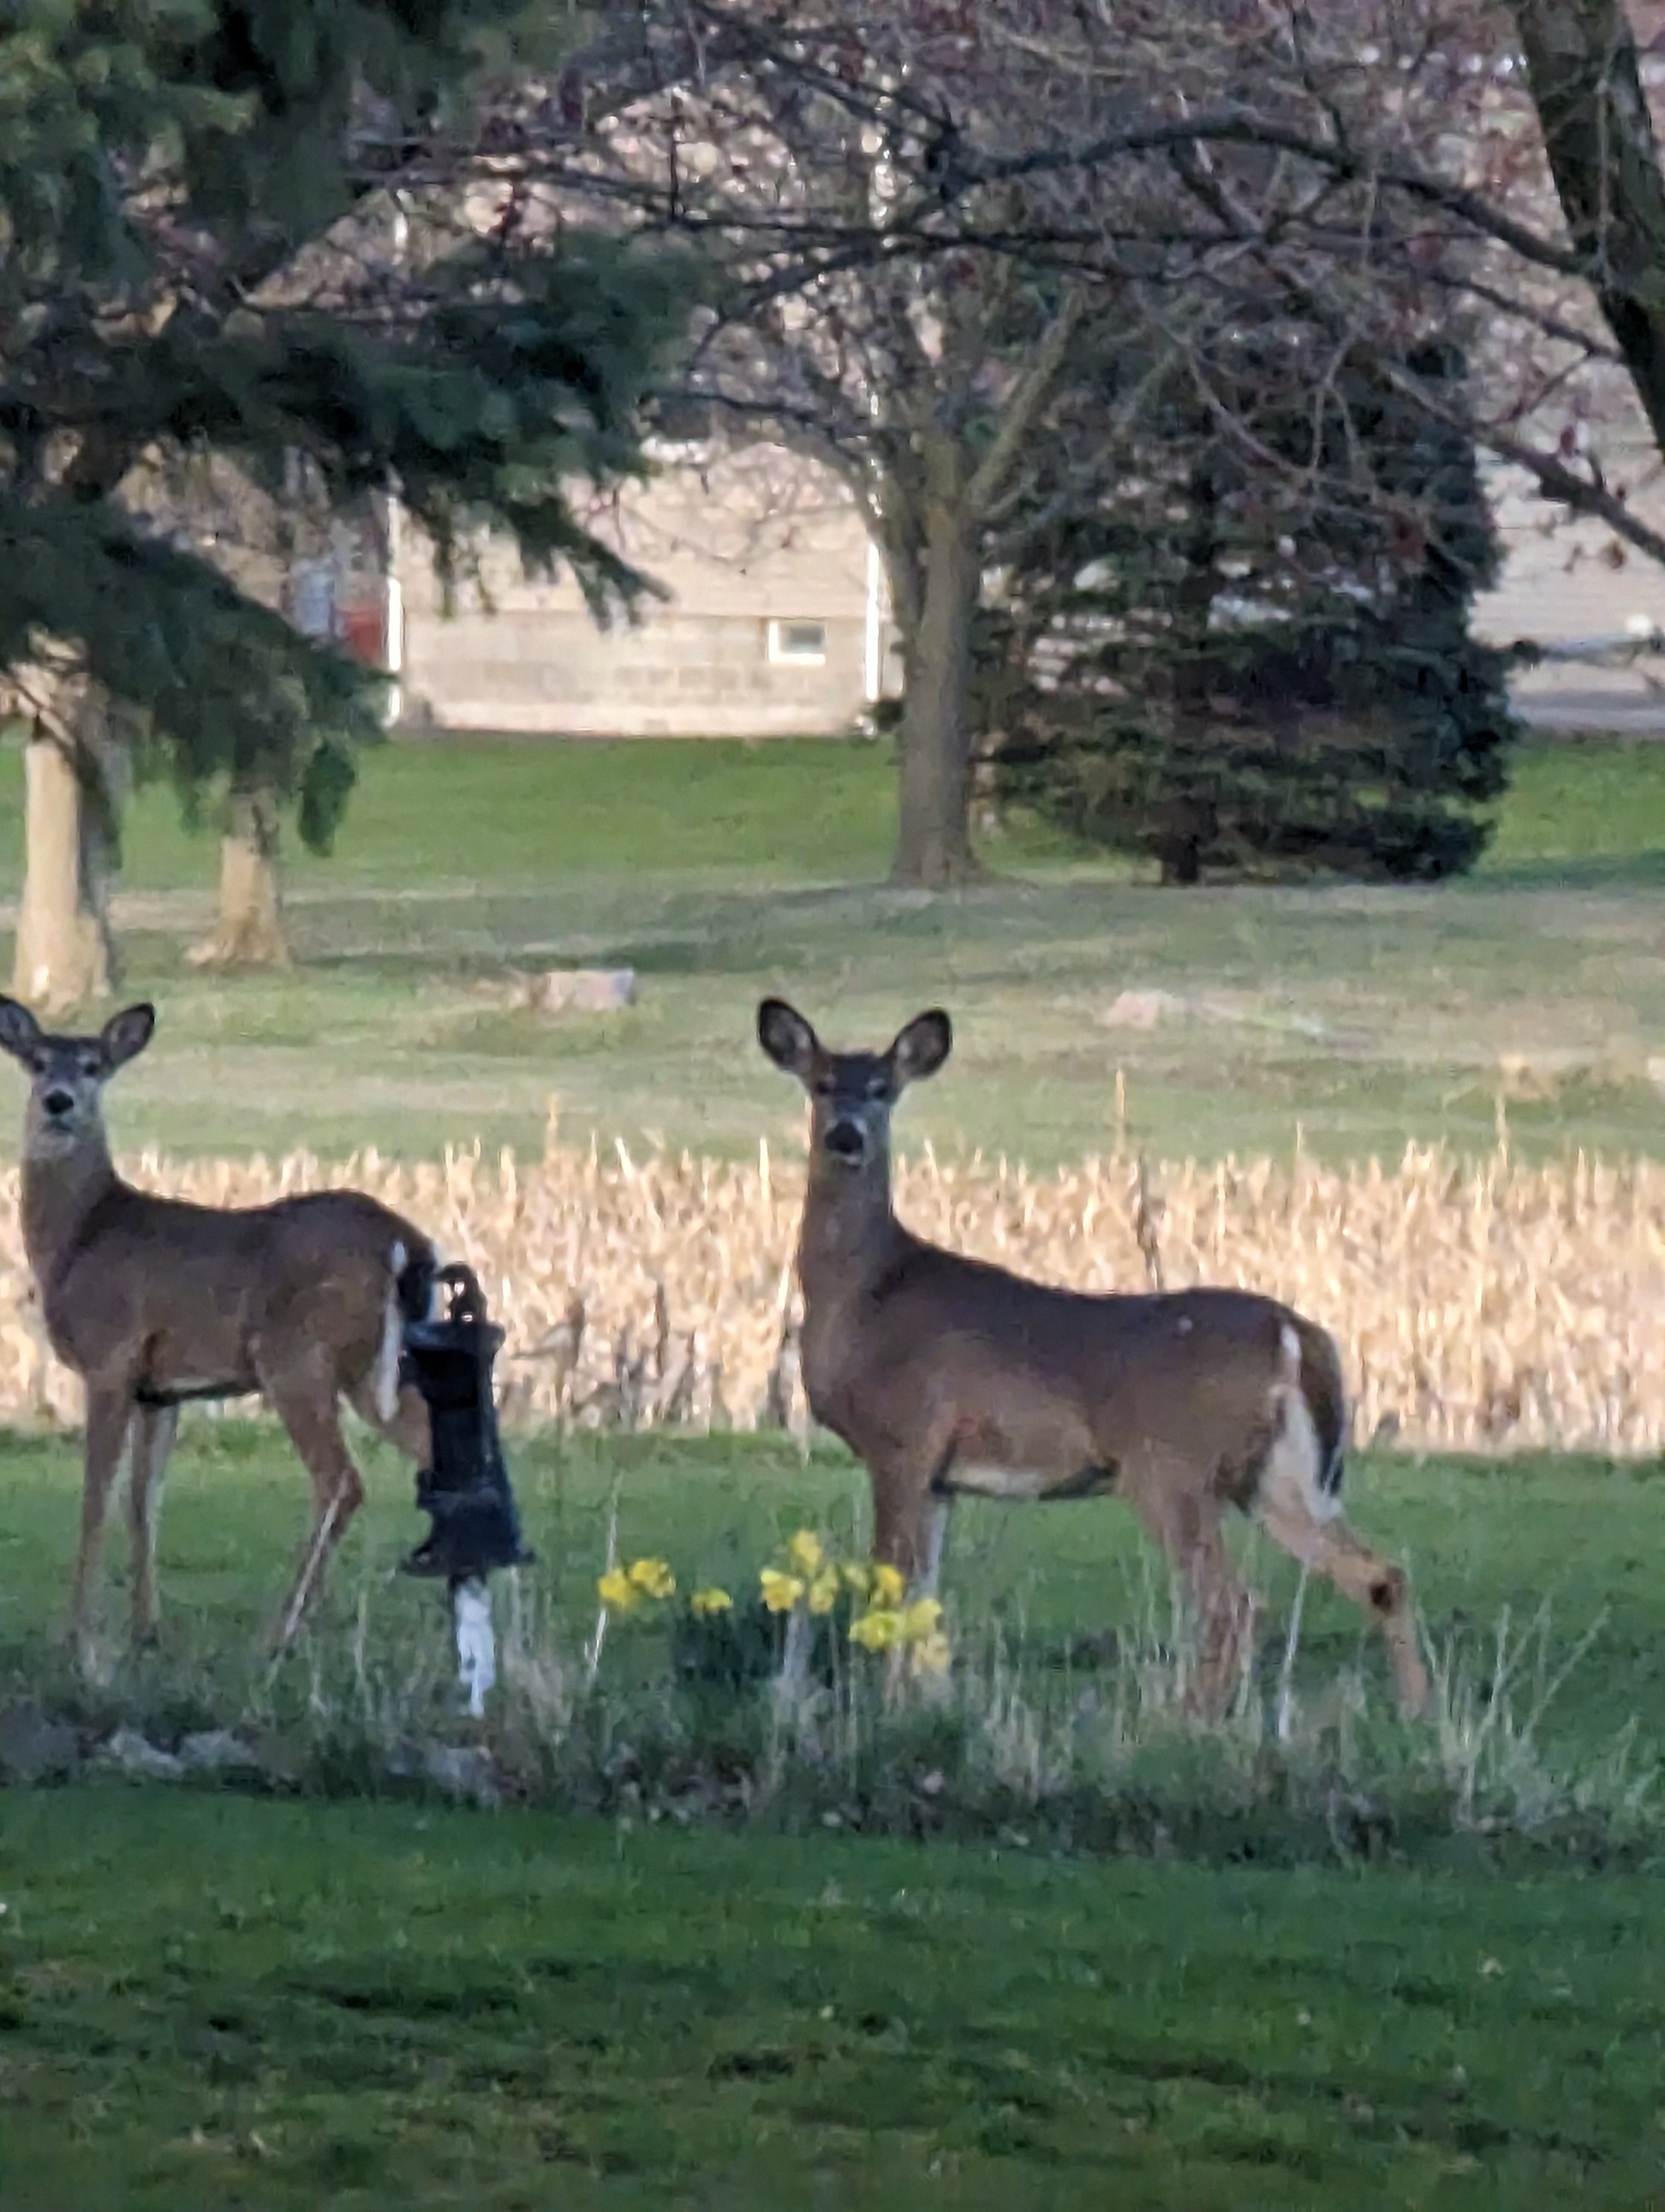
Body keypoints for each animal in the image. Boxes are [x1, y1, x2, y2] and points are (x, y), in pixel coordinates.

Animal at [0, 995, 442, 1663]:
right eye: (36, 1061)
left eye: (94, 1065)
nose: (58, 1101)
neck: (80, 1239)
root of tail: (406, 1243)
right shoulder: (160, 1390)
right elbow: (144, 1501)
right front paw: (146, 1631)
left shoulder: (109, 1358)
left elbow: (95, 1499)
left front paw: (80, 1637)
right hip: (373, 1368)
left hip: (298, 1356)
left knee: (341, 1480)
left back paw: (279, 1634)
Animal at [761, 995, 1423, 1716]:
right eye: (823, 1084)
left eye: (883, 1089)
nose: (846, 1134)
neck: (865, 1294)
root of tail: (1296, 1334)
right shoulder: (940, 1476)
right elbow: (926, 1599)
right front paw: (930, 1702)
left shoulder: (902, 1439)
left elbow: (894, 1590)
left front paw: (889, 1707)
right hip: (1273, 1476)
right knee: (1380, 1575)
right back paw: (1415, 1711)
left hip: (1172, 1466)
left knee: (1235, 1605)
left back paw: (1188, 1719)